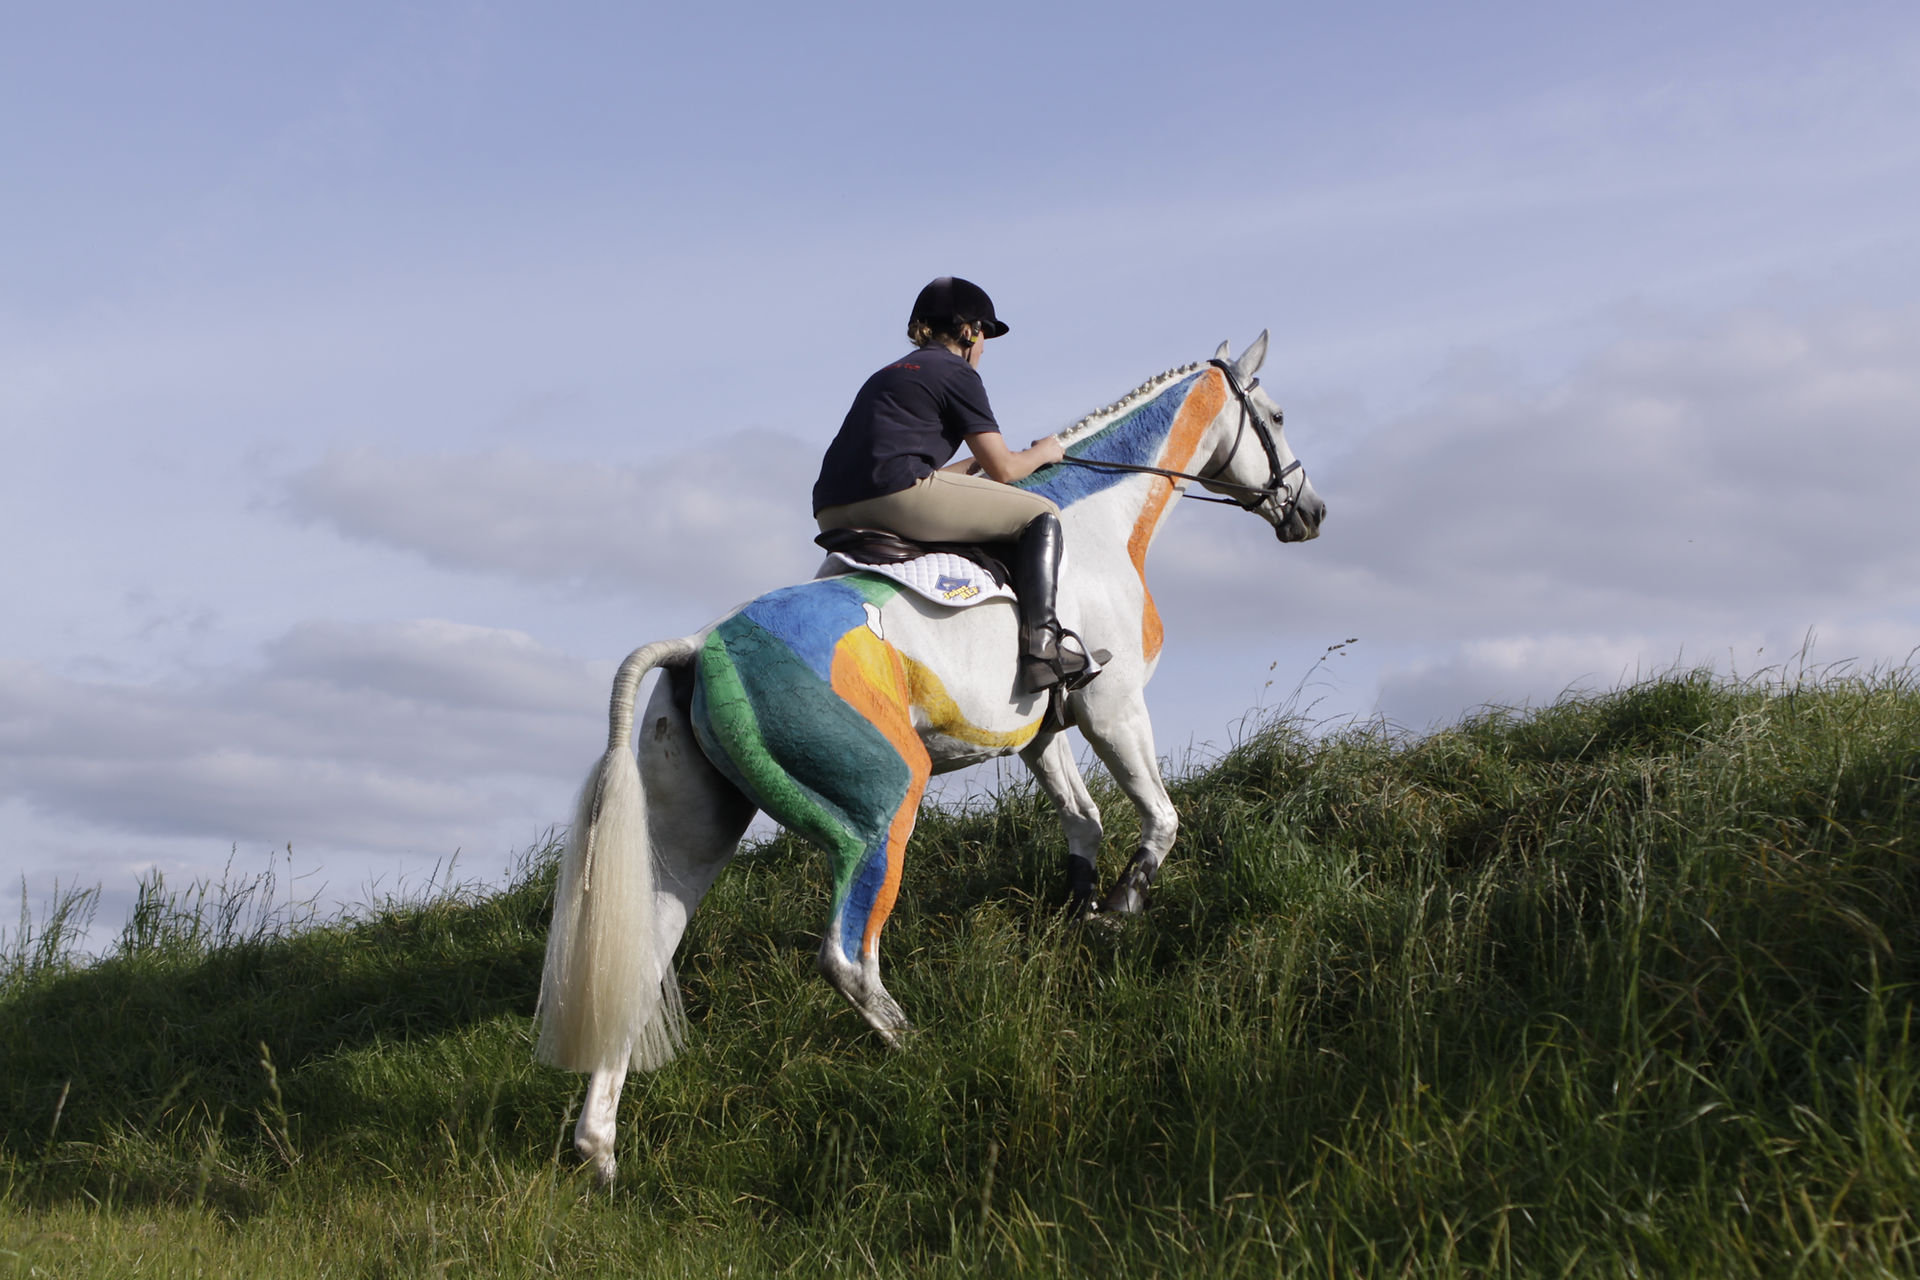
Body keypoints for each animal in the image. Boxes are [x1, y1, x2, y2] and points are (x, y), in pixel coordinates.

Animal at [535, 332, 1326, 1185]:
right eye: (1279, 414)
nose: (1311, 512)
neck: (1096, 526)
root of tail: (699, 646)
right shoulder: (1113, 707)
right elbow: (1160, 816)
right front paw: (1121, 908)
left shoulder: (1041, 731)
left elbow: (1082, 822)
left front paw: (1079, 913)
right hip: (882, 807)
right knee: (847, 956)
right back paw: (922, 1054)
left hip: (690, 836)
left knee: (643, 958)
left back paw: (600, 1149)